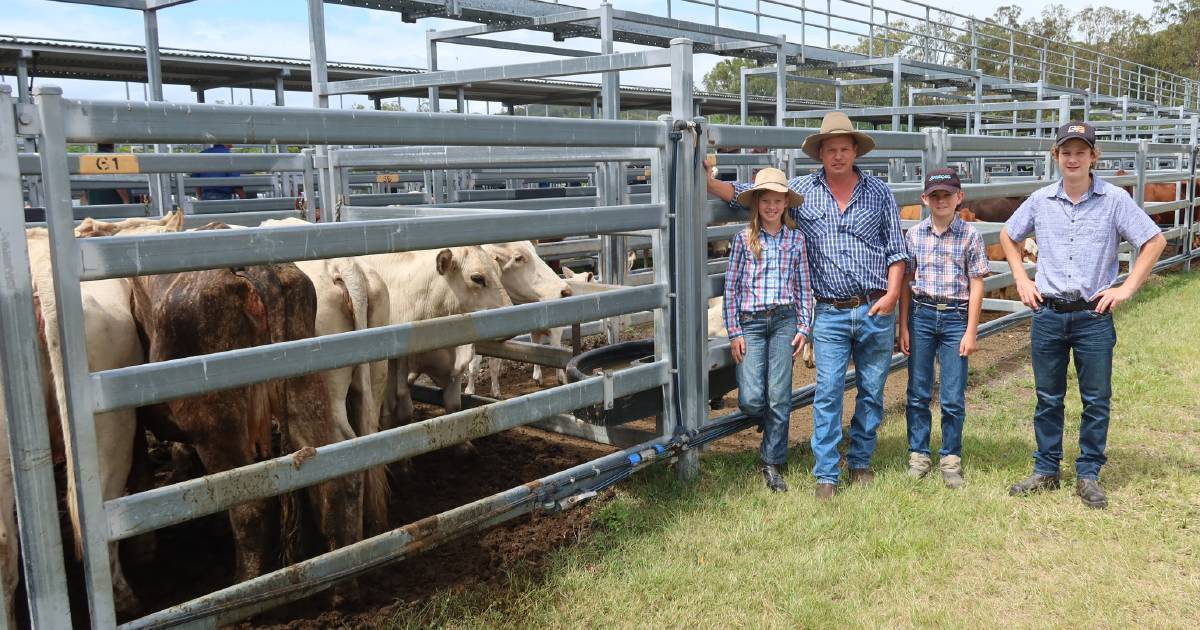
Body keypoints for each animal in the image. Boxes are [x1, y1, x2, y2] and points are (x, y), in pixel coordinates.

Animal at [129, 223, 360, 602]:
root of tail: (251, 270)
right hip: (305, 396)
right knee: (329, 484)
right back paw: (341, 586)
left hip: (218, 425)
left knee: (250, 507)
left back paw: (242, 588)